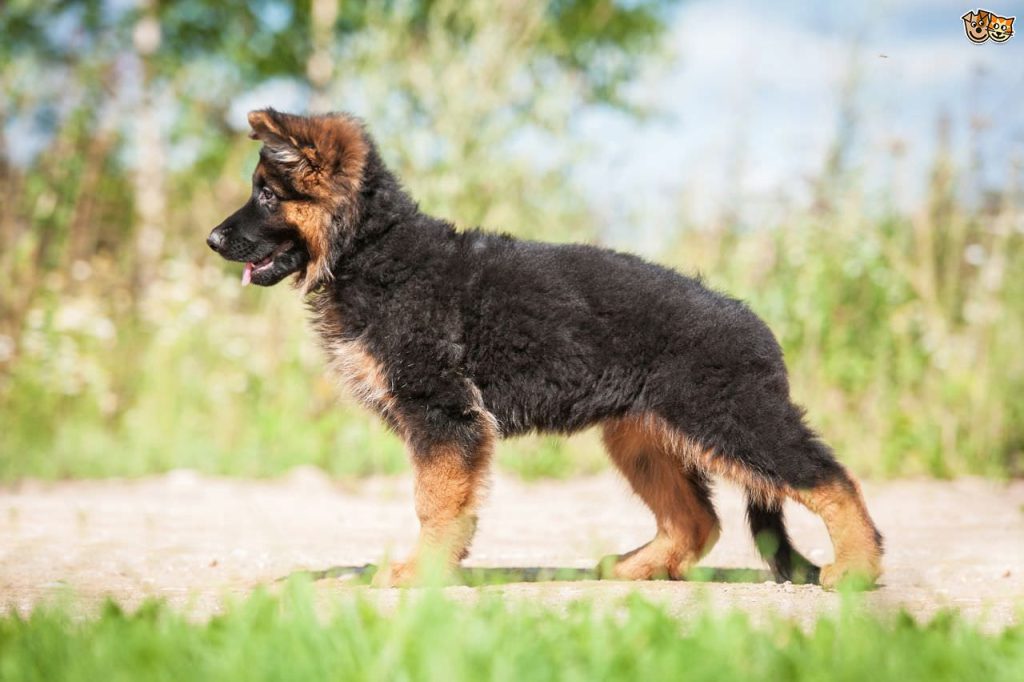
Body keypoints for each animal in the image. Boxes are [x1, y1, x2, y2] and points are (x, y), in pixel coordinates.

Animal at [205, 109, 880, 585]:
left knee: (830, 477)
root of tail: (755, 325)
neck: (372, 249)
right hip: (640, 436)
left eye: (267, 195)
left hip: (730, 418)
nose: (211, 239)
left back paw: (858, 569)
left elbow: (435, 501)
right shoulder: (448, 421)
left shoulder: (445, 414)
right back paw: (631, 570)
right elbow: (444, 500)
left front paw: (418, 573)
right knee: (698, 519)